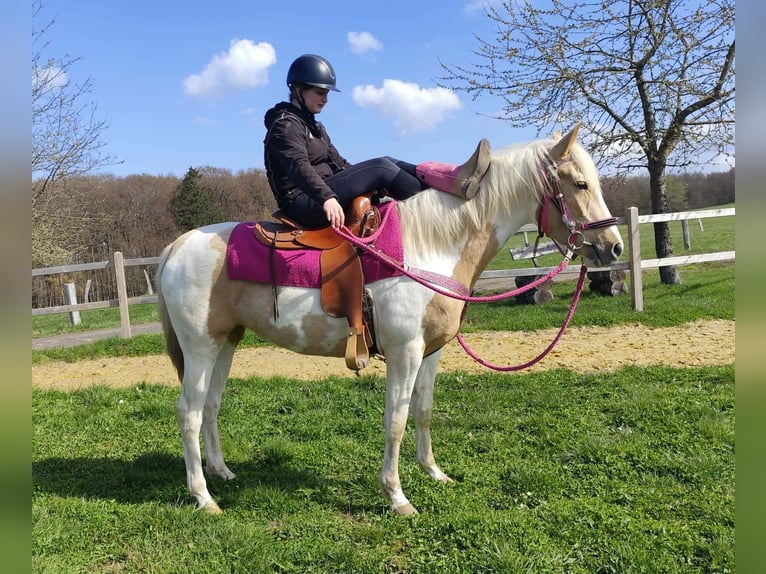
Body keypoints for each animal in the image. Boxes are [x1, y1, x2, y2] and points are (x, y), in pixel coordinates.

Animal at [156, 124, 624, 515]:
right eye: (580, 184)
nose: (613, 247)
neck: (430, 245)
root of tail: (177, 246)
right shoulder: (405, 352)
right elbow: (395, 421)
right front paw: (397, 496)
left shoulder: (431, 353)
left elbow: (423, 411)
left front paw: (434, 472)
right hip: (199, 348)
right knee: (189, 412)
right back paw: (203, 497)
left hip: (225, 343)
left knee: (211, 405)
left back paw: (221, 472)